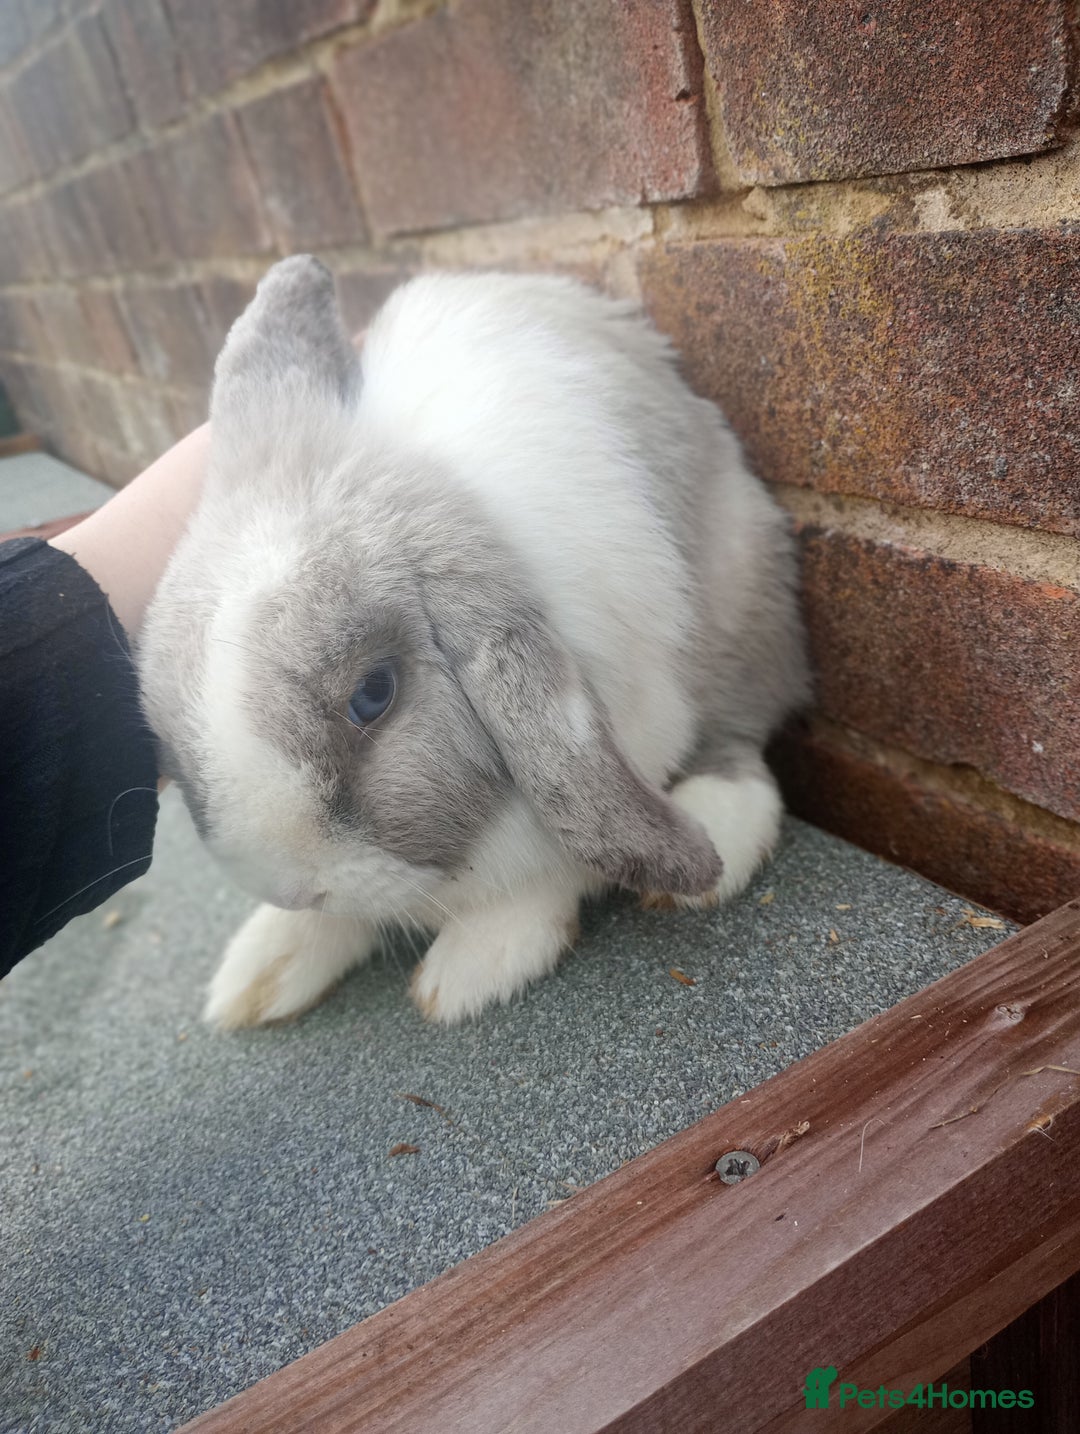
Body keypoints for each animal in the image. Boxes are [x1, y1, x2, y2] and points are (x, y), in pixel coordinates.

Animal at [137, 255, 810, 1028]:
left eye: (374, 695)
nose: (295, 887)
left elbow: (559, 860)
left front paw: (472, 970)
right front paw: (267, 966)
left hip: (741, 592)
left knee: (742, 735)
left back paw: (716, 834)